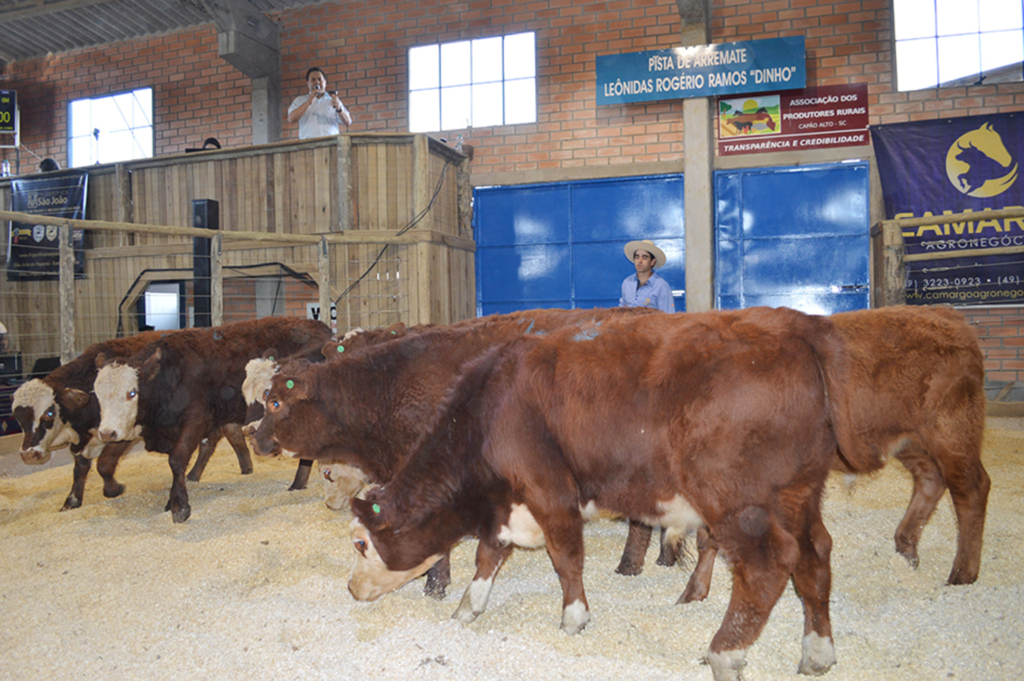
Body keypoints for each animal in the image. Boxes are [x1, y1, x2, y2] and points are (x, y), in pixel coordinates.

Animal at [12, 329, 253, 509]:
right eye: (17, 418)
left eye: (49, 413)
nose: (28, 454)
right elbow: (81, 467)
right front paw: (72, 500)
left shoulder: (121, 432)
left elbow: (104, 464)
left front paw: (113, 489)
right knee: (227, 436)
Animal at [91, 317, 329, 520]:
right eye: (98, 394)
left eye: (132, 393)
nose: (106, 432)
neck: (169, 377)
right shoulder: (134, 424)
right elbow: (104, 462)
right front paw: (113, 488)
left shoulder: (195, 420)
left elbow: (177, 459)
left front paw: (179, 506)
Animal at [348, 307, 884, 679]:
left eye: (360, 543)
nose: (351, 590)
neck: (489, 409)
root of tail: (794, 324)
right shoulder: (507, 504)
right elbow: (488, 555)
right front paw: (468, 607)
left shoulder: (549, 490)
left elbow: (566, 557)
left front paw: (574, 618)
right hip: (799, 492)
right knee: (814, 556)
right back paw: (817, 651)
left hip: (740, 499)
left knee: (769, 564)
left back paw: (726, 651)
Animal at [618, 303, 987, 593]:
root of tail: (942, 313)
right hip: (906, 439)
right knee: (931, 478)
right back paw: (906, 548)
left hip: (952, 430)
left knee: (971, 488)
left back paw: (962, 574)